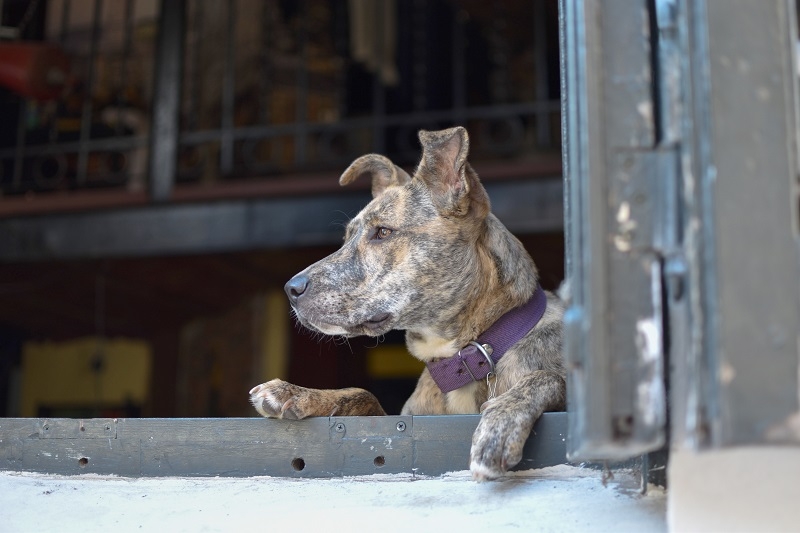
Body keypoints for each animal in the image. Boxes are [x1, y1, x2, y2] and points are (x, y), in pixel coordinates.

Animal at [247, 125, 564, 478]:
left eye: (383, 232)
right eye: (346, 238)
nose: (291, 288)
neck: (464, 358)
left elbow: (546, 378)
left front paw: (499, 426)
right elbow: (363, 393)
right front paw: (298, 393)